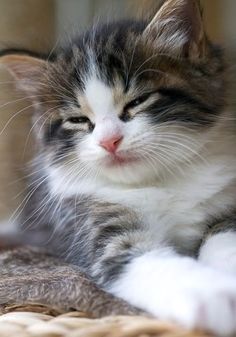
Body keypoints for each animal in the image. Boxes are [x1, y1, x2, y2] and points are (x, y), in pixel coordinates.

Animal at [1, 0, 236, 334]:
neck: (158, 180)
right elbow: (147, 262)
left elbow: (225, 239)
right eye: (78, 120)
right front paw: (215, 295)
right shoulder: (98, 226)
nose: (109, 141)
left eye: (138, 101)